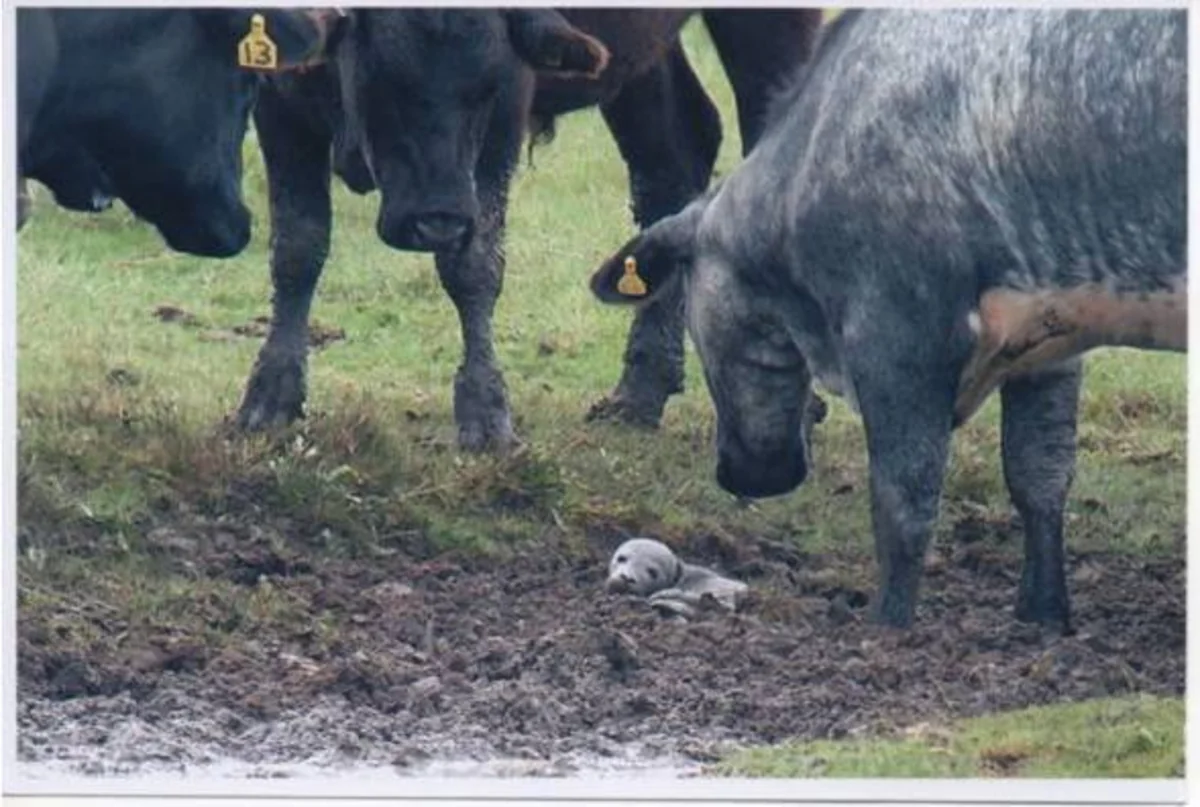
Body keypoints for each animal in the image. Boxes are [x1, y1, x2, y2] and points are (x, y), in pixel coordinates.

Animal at [230, 8, 825, 450]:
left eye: (485, 87)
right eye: (384, 79)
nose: (438, 220)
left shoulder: (505, 117)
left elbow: (474, 267)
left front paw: (485, 412)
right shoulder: (279, 104)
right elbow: (297, 250)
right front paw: (268, 398)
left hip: (767, 29)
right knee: (673, 159)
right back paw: (638, 392)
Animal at [589, 8, 1186, 633]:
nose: (744, 475)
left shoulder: (897, 336)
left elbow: (904, 499)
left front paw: (888, 626)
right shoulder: (1049, 331)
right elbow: (1039, 473)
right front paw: (1042, 615)